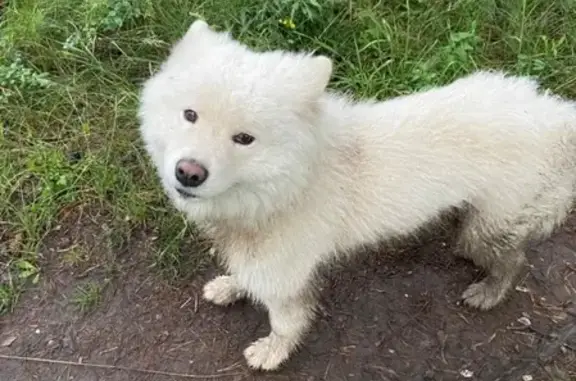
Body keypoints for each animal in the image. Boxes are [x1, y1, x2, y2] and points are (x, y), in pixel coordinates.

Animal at [138, 19, 576, 370]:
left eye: (244, 138)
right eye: (190, 115)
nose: (189, 172)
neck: (291, 184)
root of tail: (556, 115)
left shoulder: (286, 272)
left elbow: (285, 322)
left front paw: (272, 353)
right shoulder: (264, 258)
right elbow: (245, 276)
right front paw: (231, 287)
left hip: (488, 227)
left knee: (515, 262)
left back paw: (488, 292)